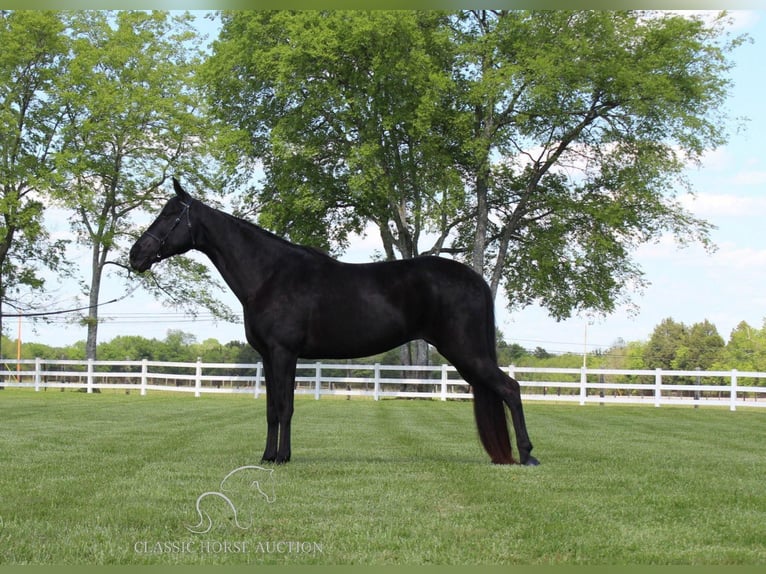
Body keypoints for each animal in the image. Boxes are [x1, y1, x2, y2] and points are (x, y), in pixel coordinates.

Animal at [130, 180, 540, 468]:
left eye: (170, 215)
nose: (136, 254)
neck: (269, 275)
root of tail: (474, 279)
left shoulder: (284, 353)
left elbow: (285, 407)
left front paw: (281, 458)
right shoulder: (268, 356)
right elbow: (271, 408)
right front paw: (268, 456)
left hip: (466, 352)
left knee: (511, 389)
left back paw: (527, 454)